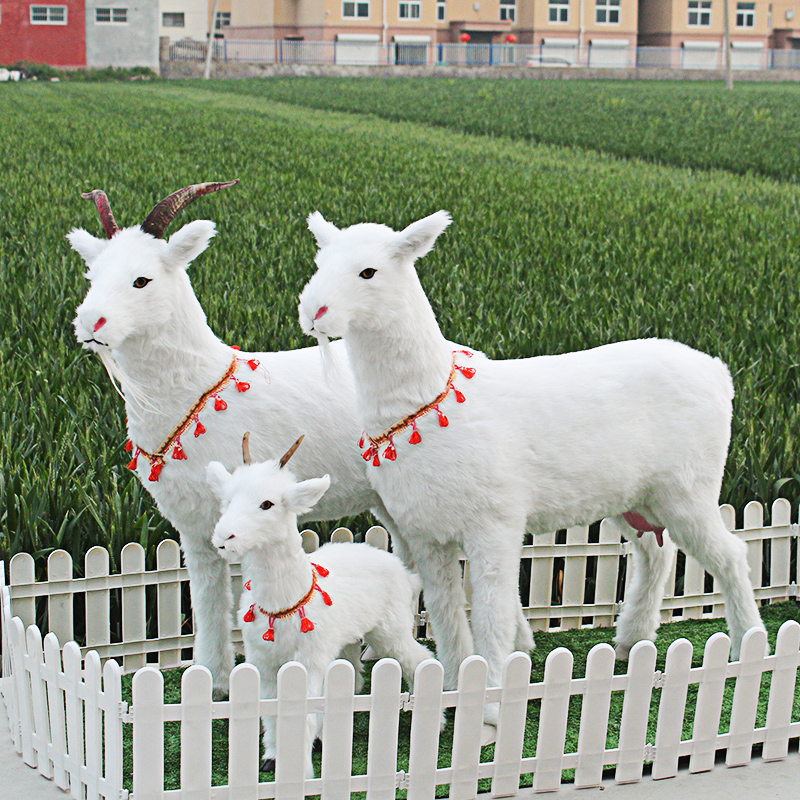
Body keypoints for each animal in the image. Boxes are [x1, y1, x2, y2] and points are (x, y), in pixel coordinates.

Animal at [70, 183, 532, 692]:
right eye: (91, 275)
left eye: (142, 281)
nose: (89, 325)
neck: (198, 387)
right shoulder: (195, 526)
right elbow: (207, 600)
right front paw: (211, 679)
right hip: (390, 502)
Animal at [300, 211, 768, 712]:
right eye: (319, 263)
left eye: (369, 272)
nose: (313, 312)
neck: (426, 398)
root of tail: (718, 372)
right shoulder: (426, 533)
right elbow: (445, 614)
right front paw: (452, 687)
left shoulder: (494, 523)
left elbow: (492, 613)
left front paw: (488, 701)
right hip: (636, 497)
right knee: (655, 554)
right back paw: (631, 641)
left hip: (689, 487)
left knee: (731, 555)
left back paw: (747, 647)